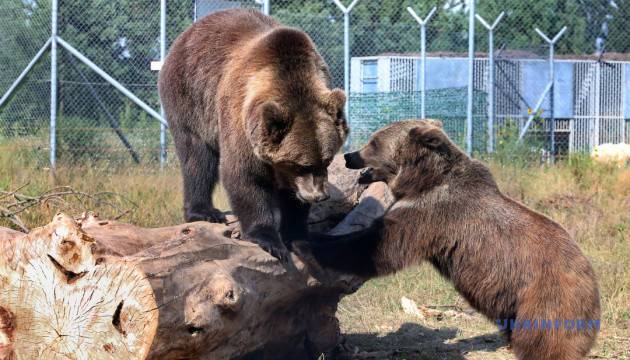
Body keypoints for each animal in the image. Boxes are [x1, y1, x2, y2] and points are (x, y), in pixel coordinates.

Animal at [157, 9, 346, 262]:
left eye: (327, 160)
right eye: (299, 164)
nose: (318, 196)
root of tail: (188, 33)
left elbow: (291, 198)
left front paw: (296, 237)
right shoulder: (240, 118)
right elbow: (245, 176)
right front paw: (269, 240)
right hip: (189, 97)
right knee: (197, 157)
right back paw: (204, 212)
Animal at [302, 119, 604, 358]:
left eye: (374, 142)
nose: (349, 156)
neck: (423, 180)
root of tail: (591, 279)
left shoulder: (433, 214)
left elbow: (380, 245)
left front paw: (309, 241)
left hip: (547, 299)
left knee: (544, 341)